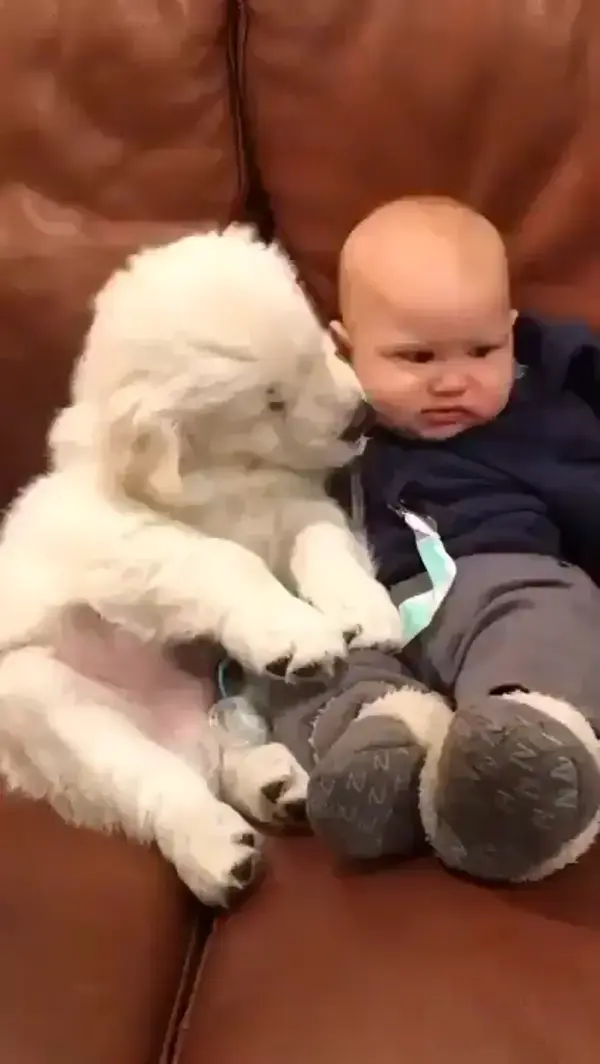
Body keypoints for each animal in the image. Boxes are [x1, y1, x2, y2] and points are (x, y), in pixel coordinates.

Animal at [0, 228, 406, 902]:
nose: (362, 419)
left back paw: (275, 786)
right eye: (271, 402)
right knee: (160, 784)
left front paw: (363, 611)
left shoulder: (296, 506)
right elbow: (221, 558)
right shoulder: (116, 538)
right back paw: (216, 850)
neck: (225, 477)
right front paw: (296, 632)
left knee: (222, 754)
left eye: (316, 348)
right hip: (45, 702)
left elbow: (325, 540)